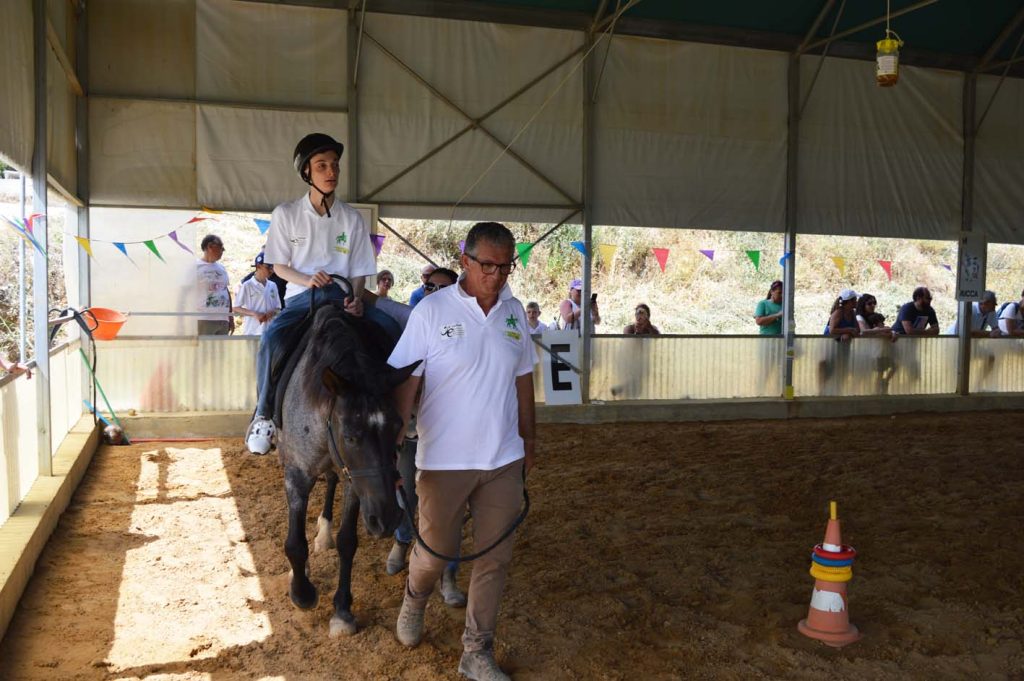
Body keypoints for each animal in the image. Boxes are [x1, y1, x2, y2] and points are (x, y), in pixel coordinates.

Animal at [274, 292, 417, 639]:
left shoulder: (357, 483)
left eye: (397, 426)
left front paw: (342, 611)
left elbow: (347, 541)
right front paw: (302, 592)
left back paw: (324, 531)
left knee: (331, 481)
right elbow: (294, 542)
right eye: (351, 435)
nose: (388, 519)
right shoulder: (296, 474)